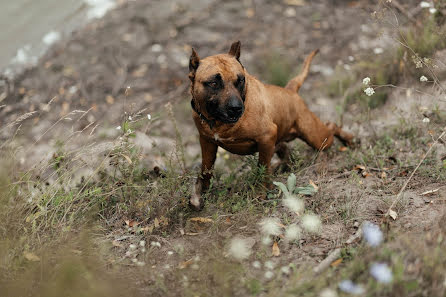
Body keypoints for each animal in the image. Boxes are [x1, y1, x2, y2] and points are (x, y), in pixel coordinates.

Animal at [187, 41, 352, 208]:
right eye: (214, 83)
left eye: (240, 80)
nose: (236, 108)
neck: (217, 122)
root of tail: (291, 91)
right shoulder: (207, 142)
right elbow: (205, 171)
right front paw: (198, 196)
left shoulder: (266, 138)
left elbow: (263, 169)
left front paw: (260, 193)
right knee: (285, 149)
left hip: (316, 137)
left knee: (331, 127)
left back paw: (349, 141)